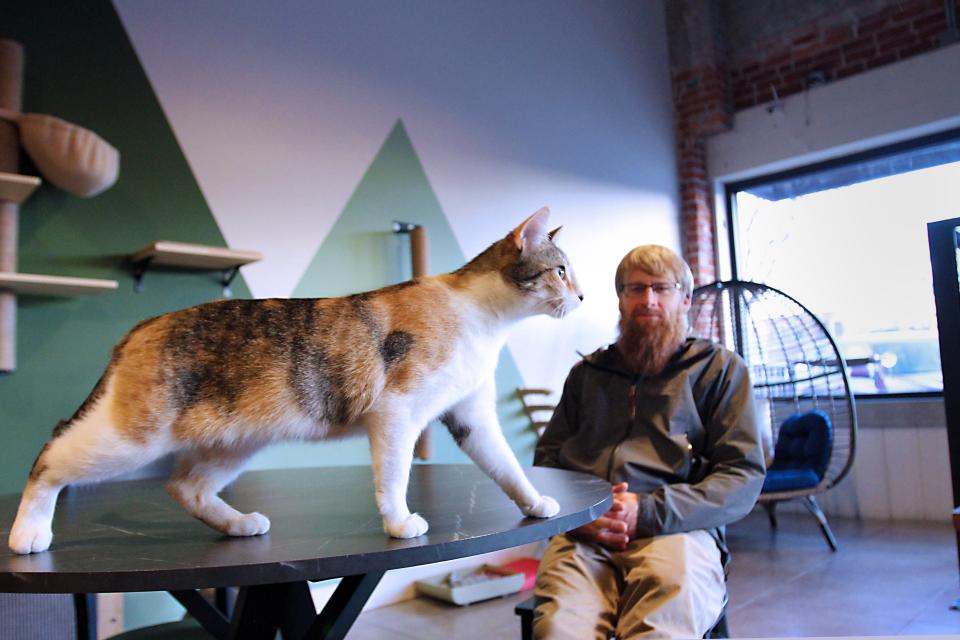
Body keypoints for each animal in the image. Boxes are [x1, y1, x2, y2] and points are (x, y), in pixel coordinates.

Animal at [9, 209, 576, 556]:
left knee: (184, 486)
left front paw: (536, 504)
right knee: (51, 452)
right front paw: (399, 523)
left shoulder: (470, 417)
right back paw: (28, 531)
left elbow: (507, 468)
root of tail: (140, 326)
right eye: (562, 271)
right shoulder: (397, 413)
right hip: (131, 439)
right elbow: (393, 477)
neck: (481, 317)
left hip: (234, 442)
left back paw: (239, 525)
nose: (584, 297)